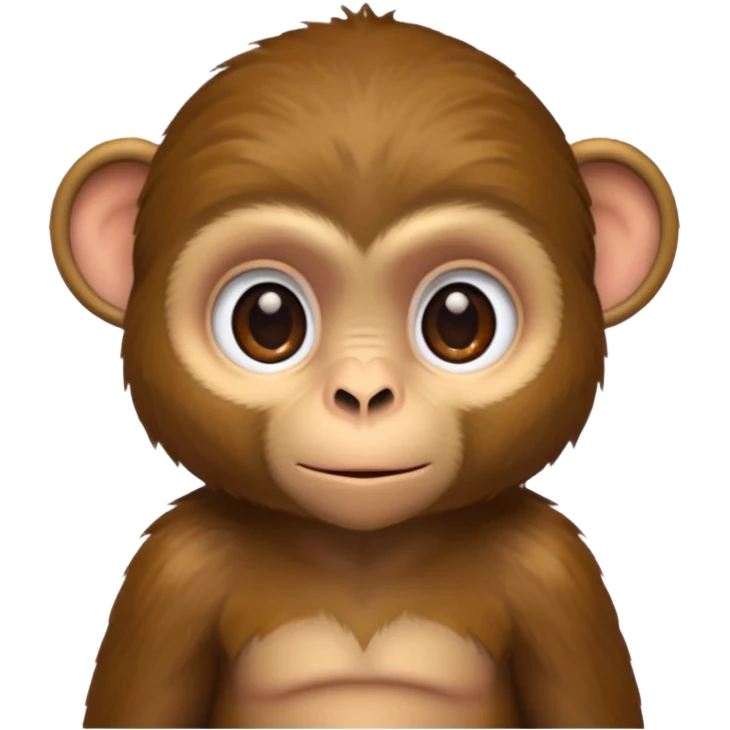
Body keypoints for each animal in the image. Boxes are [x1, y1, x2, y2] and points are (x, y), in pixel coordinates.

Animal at [51, 5, 678, 729]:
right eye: (268, 320)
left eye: (459, 321)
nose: (363, 393)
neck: (363, 553)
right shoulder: (176, 567)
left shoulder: (552, 568)